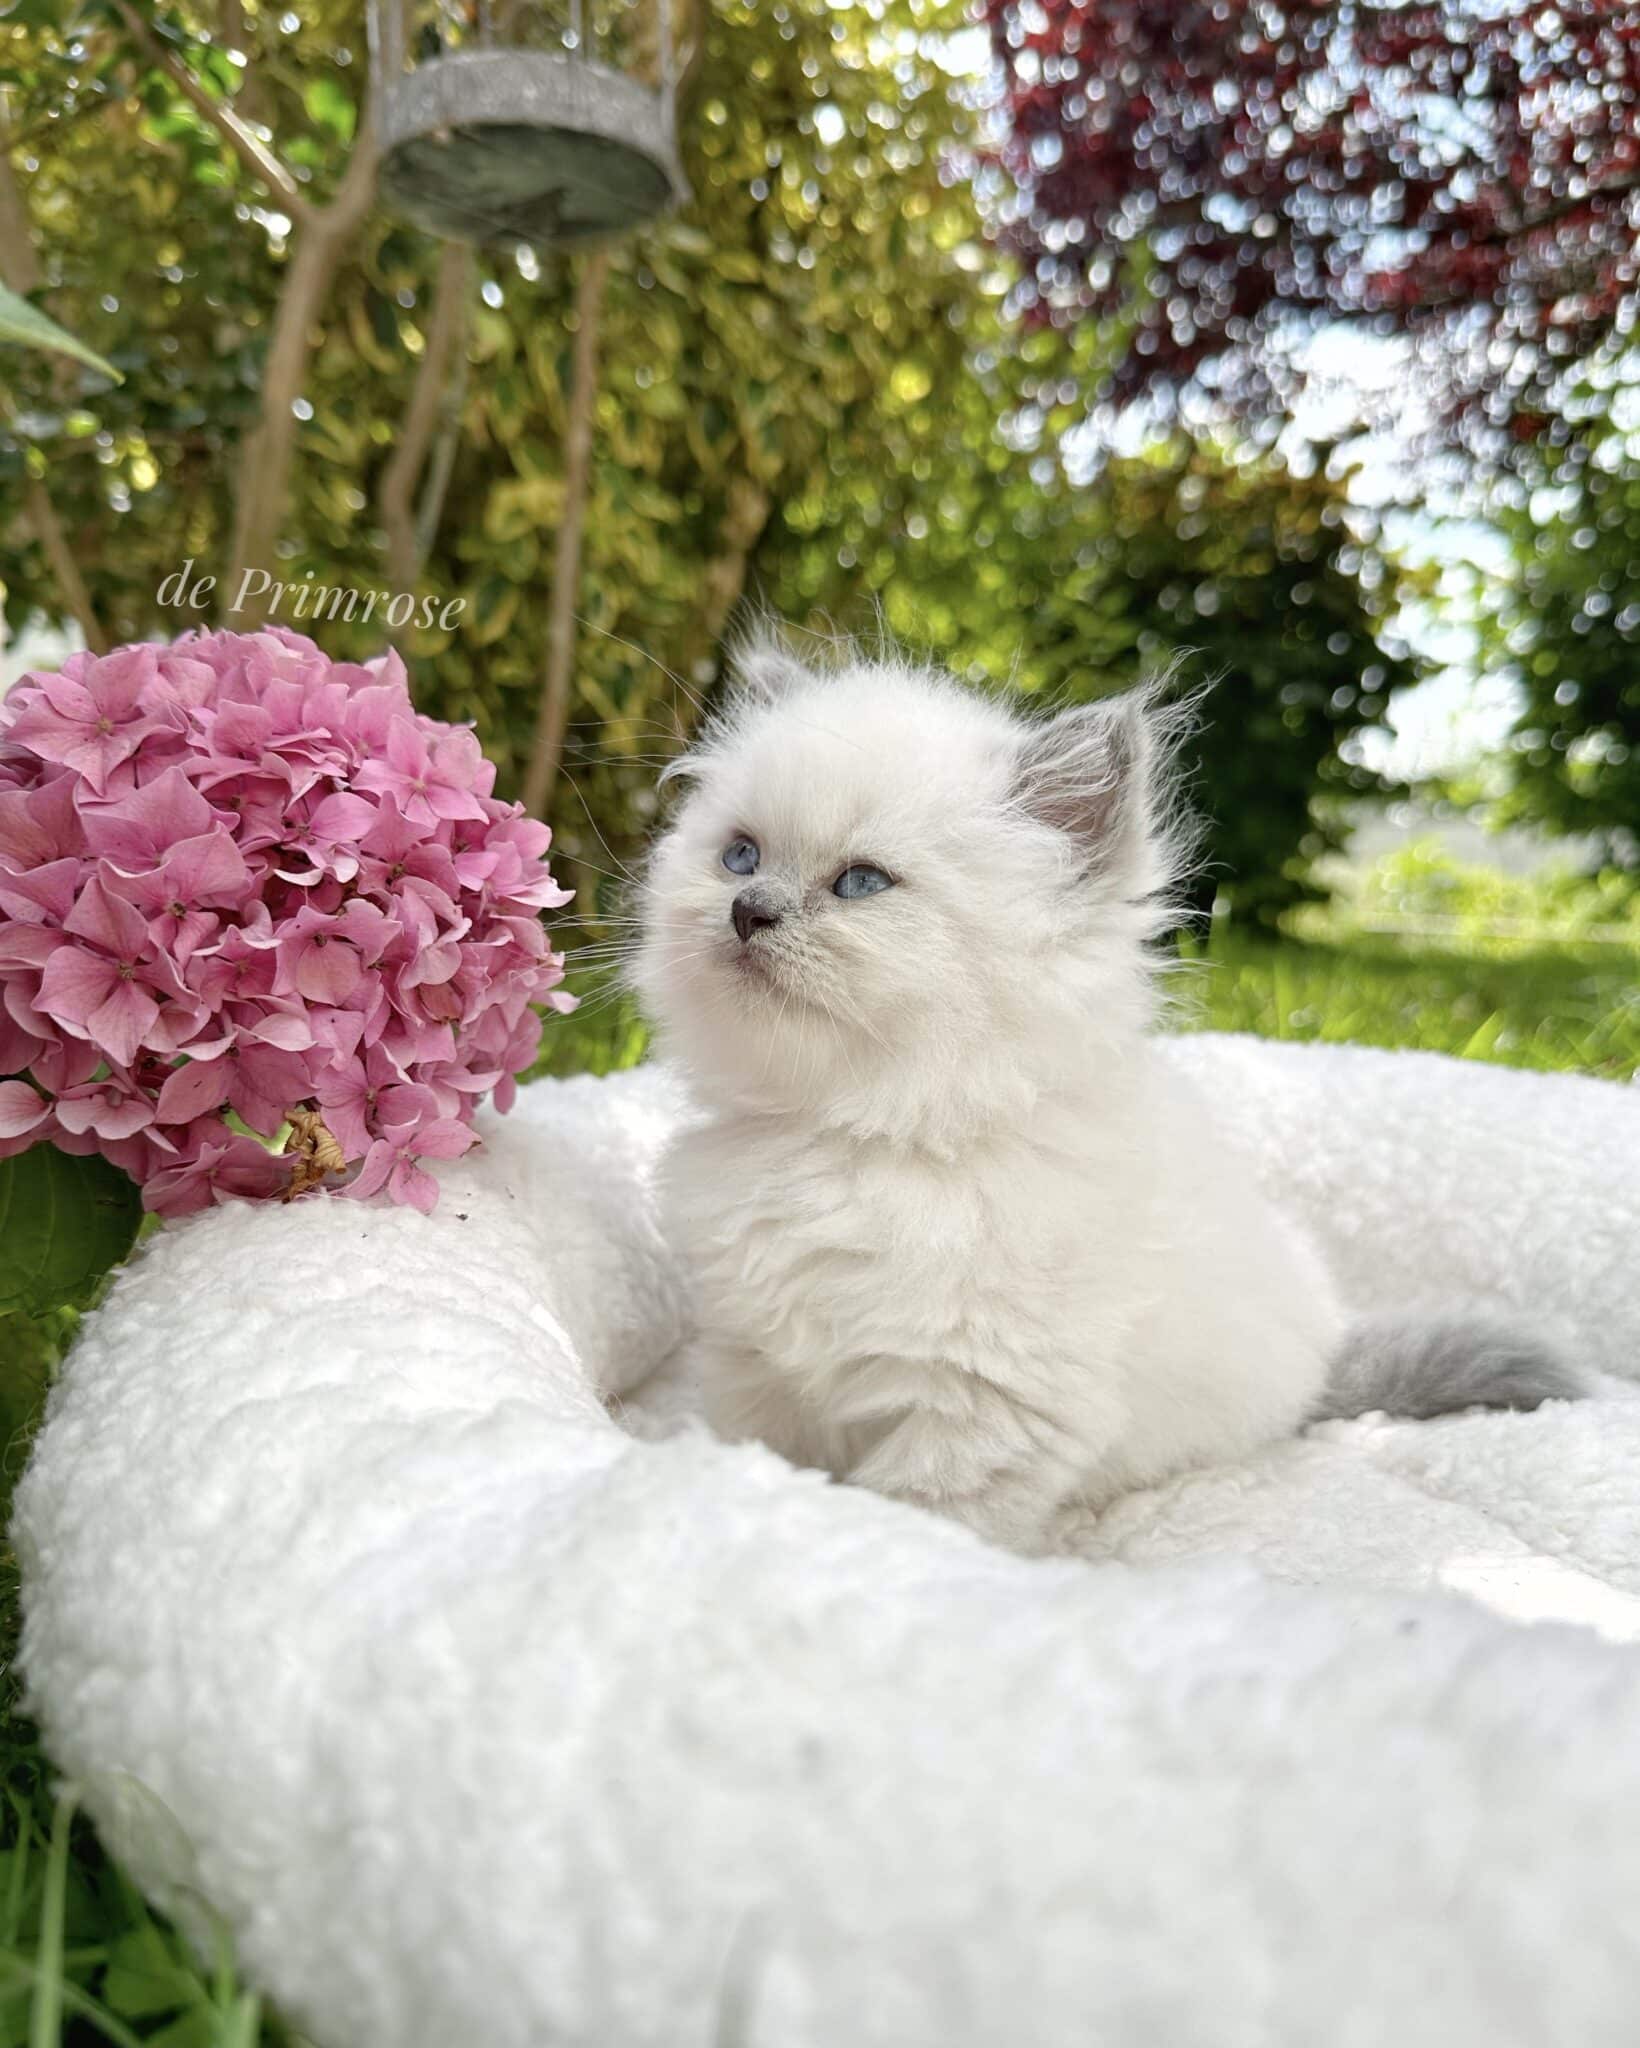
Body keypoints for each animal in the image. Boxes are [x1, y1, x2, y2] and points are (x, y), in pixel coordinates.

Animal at [634, 638, 1580, 1548]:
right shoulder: (757, 1363)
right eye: (740, 857)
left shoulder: (983, 1410)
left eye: (861, 883)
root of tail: (1325, 1356)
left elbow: (917, 1526)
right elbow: (762, 1463)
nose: (748, 911)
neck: (850, 1136)